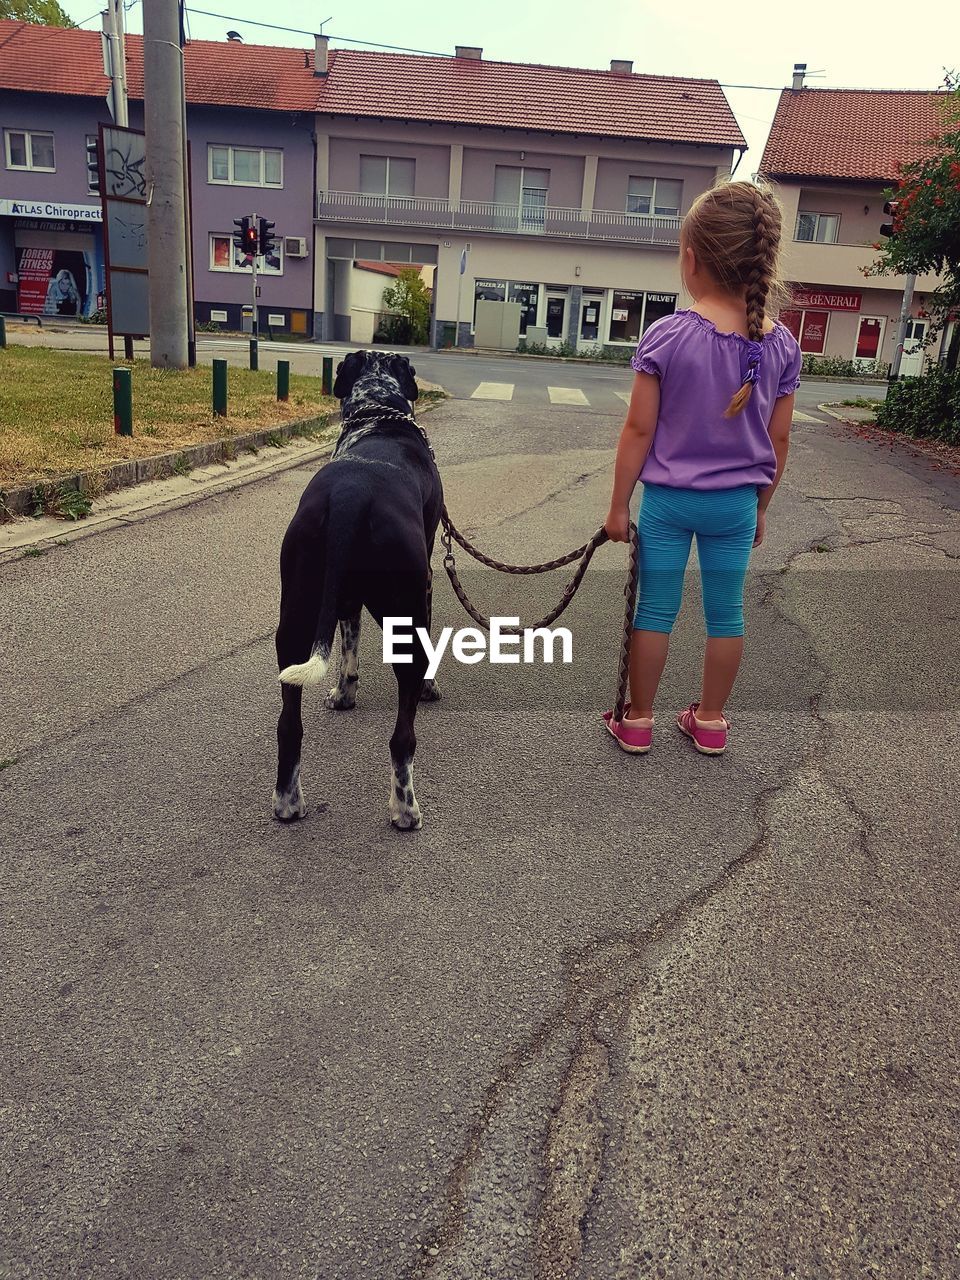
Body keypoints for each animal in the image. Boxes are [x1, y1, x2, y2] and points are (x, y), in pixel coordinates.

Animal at [273, 350, 442, 829]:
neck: (378, 413)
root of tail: (351, 495)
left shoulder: (342, 601)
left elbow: (348, 649)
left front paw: (344, 694)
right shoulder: (425, 581)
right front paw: (429, 687)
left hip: (295, 621)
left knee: (289, 727)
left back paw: (287, 803)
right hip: (404, 619)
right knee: (402, 739)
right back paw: (405, 809)